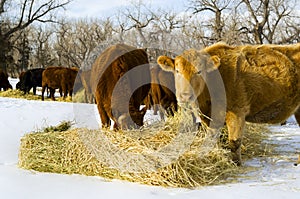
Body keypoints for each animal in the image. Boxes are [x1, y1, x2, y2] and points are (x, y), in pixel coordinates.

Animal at [158, 42, 298, 166]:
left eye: (199, 71)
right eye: (177, 71)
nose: (185, 96)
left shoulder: (236, 112)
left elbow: (234, 142)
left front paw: (236, 164)